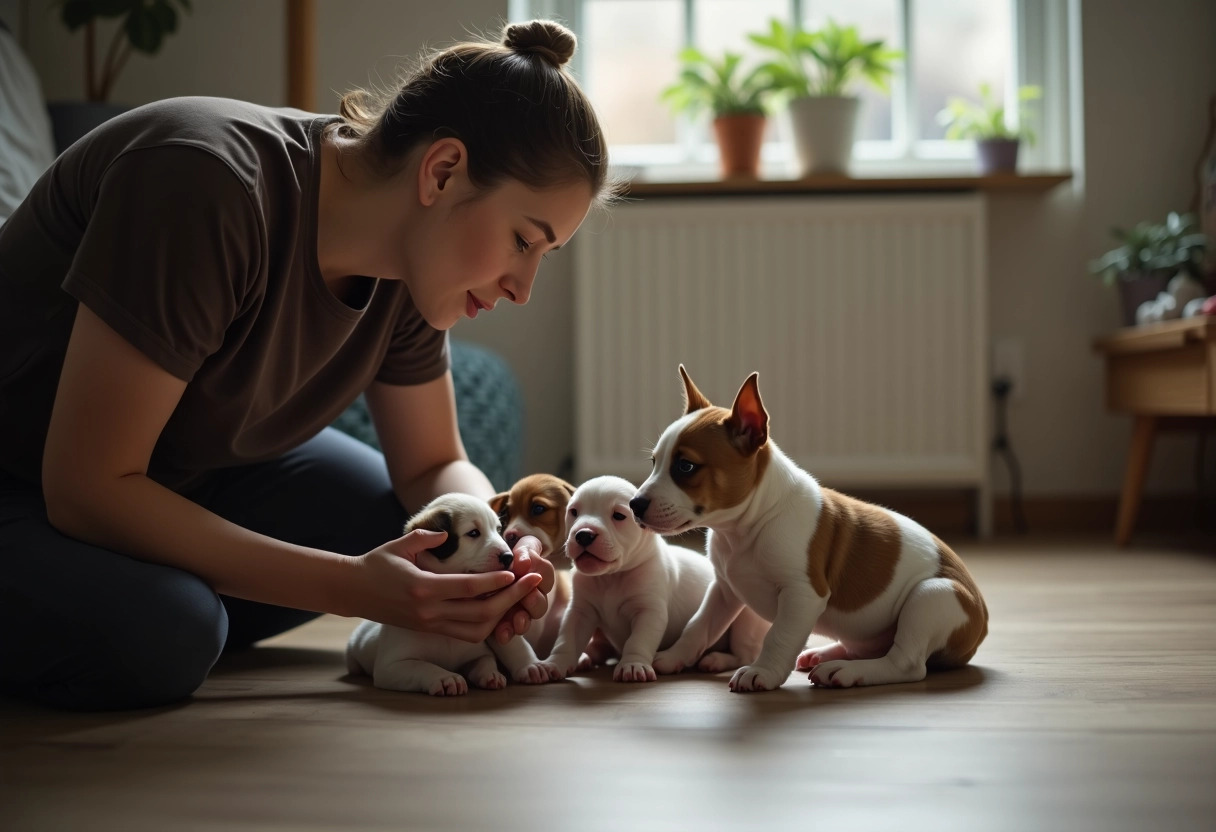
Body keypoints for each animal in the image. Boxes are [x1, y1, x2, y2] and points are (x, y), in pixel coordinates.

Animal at [345, 493, 549, 695]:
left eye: (498, 530)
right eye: (473, 533)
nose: (509, 557)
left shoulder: (480, 652)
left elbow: (490, 657)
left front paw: (508, 670)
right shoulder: (392, 667)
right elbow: (422, 667)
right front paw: (444, 677)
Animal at [632, 367, 992, 690]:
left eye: (685, 466)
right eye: (654, 462)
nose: (635, 504)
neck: (746, 526)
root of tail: (983, 623)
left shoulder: (801, 595)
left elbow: (778, 636)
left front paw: (762, 673)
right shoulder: (723, 589)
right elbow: (699, 625)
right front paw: (673, 657)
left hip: (932, 597)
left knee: (906, 663)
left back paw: (847, 672)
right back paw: (825, 654)